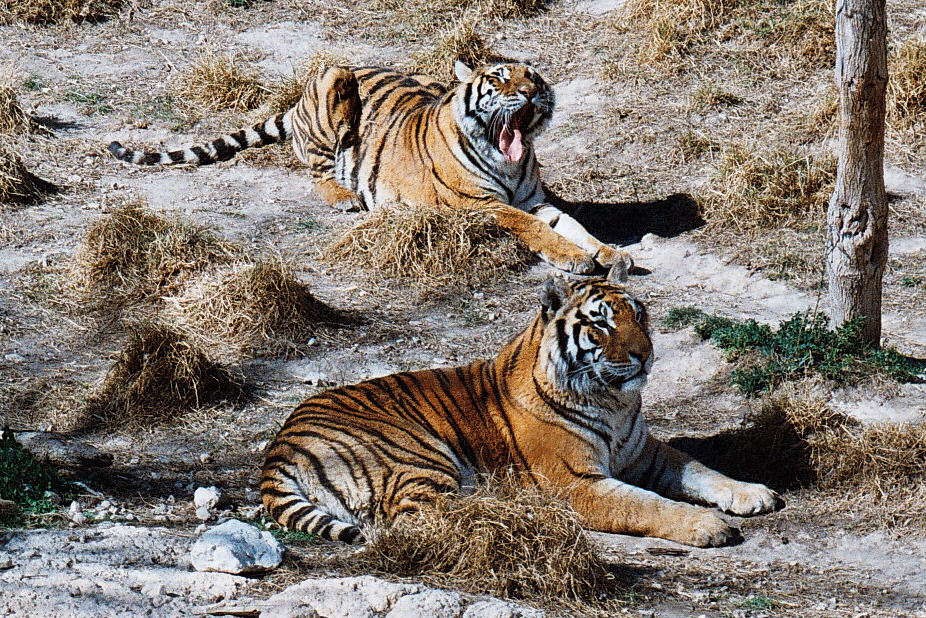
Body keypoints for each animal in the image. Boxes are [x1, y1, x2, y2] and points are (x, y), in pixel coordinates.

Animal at [108, 61, 629, 275]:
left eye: (534, 76)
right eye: (500, 79)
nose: (532, 93)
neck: (506, 160)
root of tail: (295, 103)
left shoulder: (536, 201)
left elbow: (574, 225)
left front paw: (610, 254)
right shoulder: (480, 206)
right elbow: (535, 230)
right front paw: (577, 260)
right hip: (332, 87)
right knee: (318, 170)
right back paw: (345, 197)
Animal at [259, 264, 779, 547]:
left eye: (639, 314)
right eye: (602, 325)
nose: (645, 354)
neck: (613, 399)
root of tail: (279, 447)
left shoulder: (645, 452)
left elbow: (701, 469)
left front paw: (753, 493)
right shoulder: (577, 482)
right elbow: (648, 505)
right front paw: (706, 525)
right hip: (416, 453)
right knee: (423, 517)